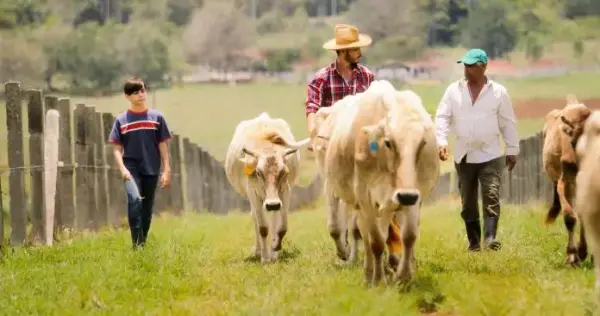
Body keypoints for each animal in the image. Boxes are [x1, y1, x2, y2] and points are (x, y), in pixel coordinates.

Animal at [224, 112, 310, 262]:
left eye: (283, 172)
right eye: (258, 172)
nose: (272, 204)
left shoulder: (285, 192)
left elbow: (282, 227)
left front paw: (275, 250)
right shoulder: (253, 193)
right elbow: (262, 227)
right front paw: (264, 258)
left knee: (274, 221)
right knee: (255, 218)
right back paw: (259, 251)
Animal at [324, 80, 440, 286]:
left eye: (422, 143)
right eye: (388, 142)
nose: (405, 196)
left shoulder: (413, 195)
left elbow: (409, 236)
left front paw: (404, 276)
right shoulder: (365, 199)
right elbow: (376, 242)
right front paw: (378, 280)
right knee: (366, 237)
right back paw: (369, 272)